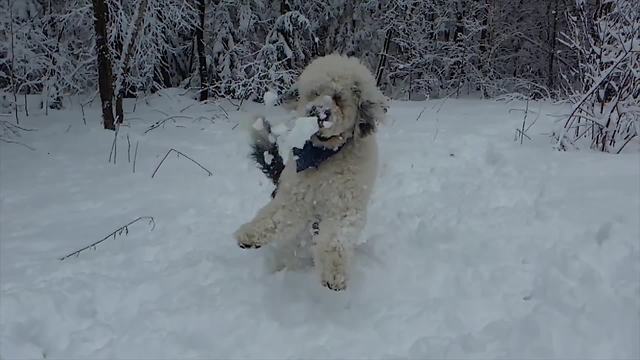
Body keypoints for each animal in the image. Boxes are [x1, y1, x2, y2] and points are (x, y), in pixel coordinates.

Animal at [234, 54, 384, 290]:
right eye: (314, 93)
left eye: (338, 97)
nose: (316, 112)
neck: (325, 154)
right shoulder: (295, 195)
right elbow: (276, 215)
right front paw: (249, 234)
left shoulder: (344, 204)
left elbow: (335, 239)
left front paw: (334, 274)